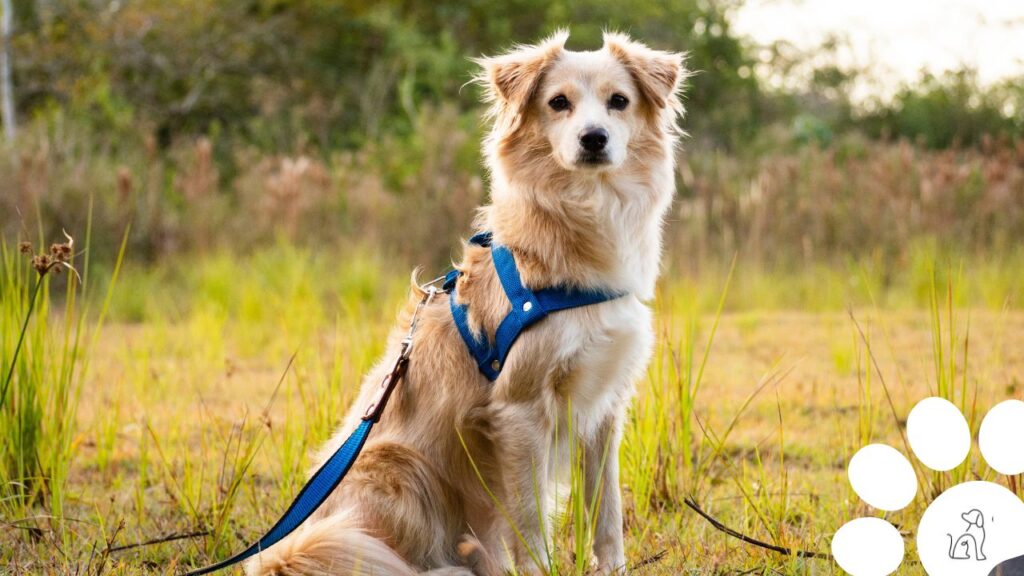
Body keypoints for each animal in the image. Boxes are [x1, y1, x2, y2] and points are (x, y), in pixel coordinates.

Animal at [243, 30, 684, 573]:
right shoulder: (520, 411)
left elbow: (607, 513)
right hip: (401, 468)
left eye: (618, 101)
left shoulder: (603, 406)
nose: (594, 138)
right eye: (558, 103)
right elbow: (532, 527)